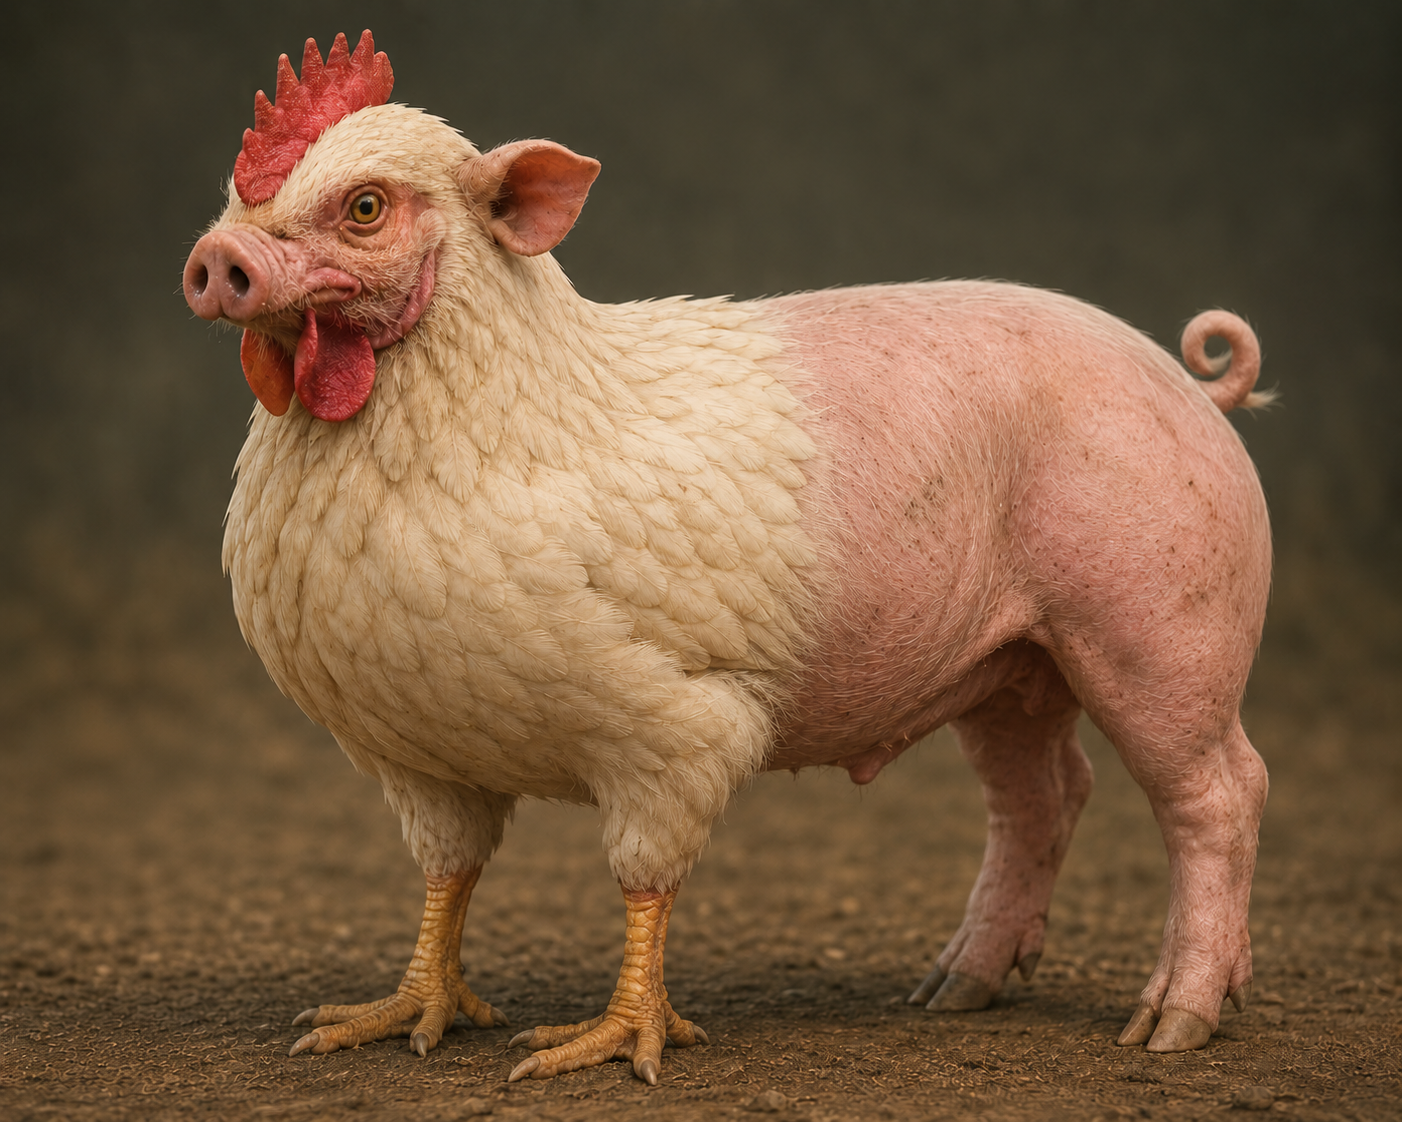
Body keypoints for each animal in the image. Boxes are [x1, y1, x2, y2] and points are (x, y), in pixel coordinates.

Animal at [182, 32, 1272, 1085]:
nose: (216, 257)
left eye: (364, 206)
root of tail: (1191, 385)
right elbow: (447, 878)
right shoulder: (418, 759)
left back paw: (1172, 1022)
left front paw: (606, 1045)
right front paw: (386, 1019)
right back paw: (956, 986)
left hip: (1160, 636)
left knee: (1220, 796)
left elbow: (644, 886)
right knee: (1043, 796)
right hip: (1009, 668)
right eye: (236, 193)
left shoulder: (682, 733)